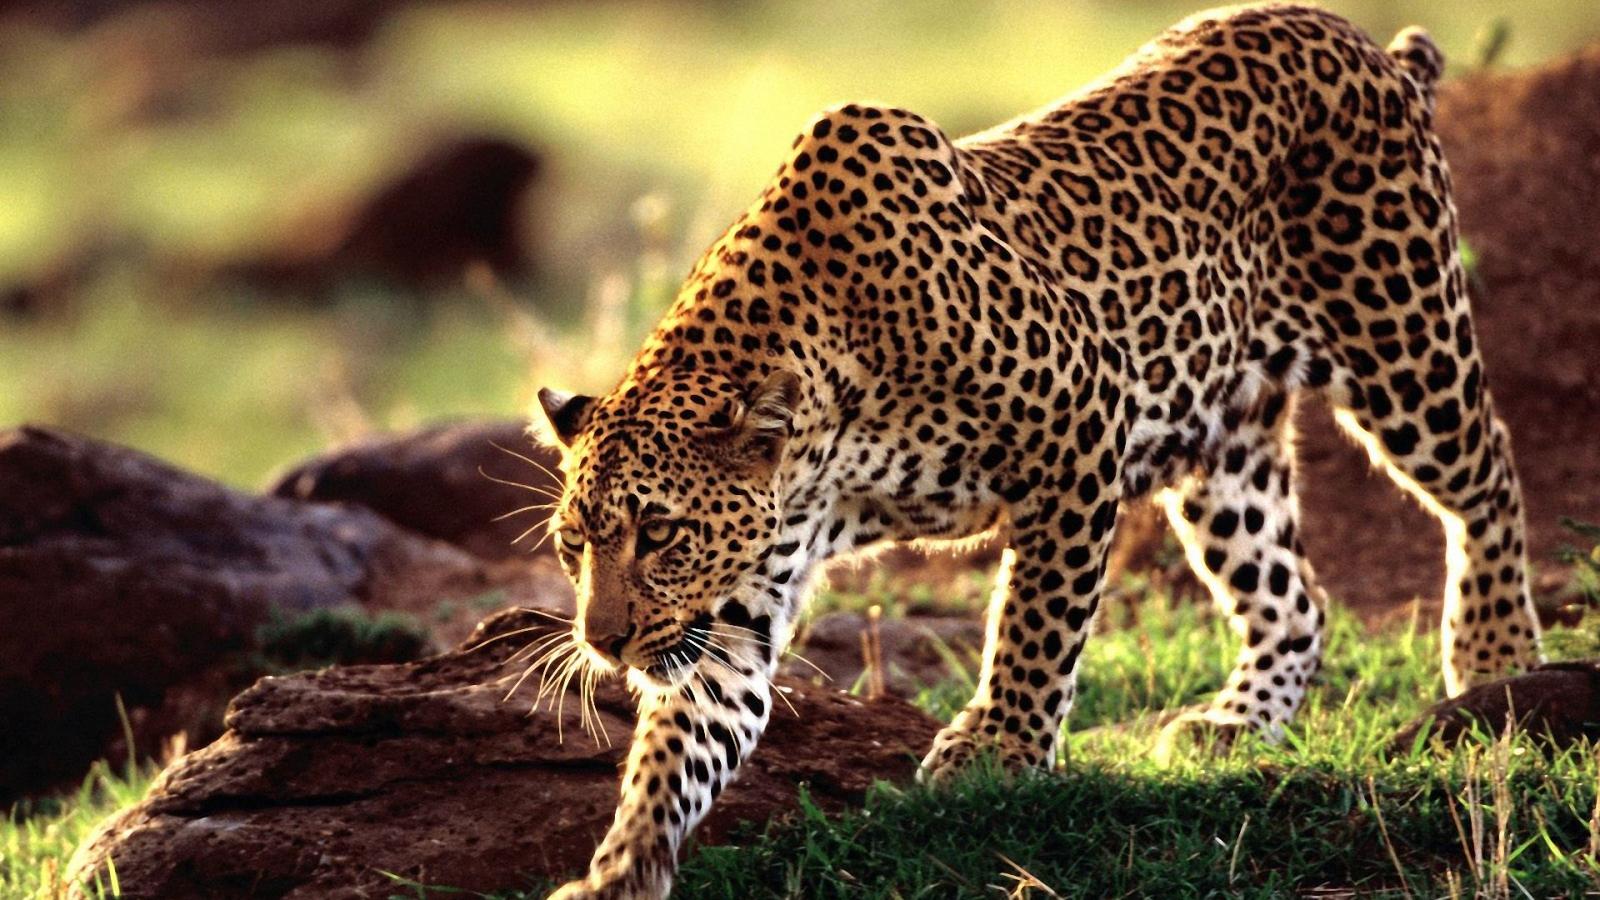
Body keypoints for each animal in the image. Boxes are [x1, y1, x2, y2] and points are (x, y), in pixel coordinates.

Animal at [531, 5, 1543, 897]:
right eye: (574, 545)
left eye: (660, 533)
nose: (603, 642)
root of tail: (1367, 44)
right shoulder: (738, 603)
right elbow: (682, 745)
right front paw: (623, 867)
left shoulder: (1081, 424)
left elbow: (1035, 622)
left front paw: (1001, 751)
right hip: (1225, 444)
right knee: (1294, 596)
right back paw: (1234, 723)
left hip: (1403, 343)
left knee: (1489, 475)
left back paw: (1495, 659)